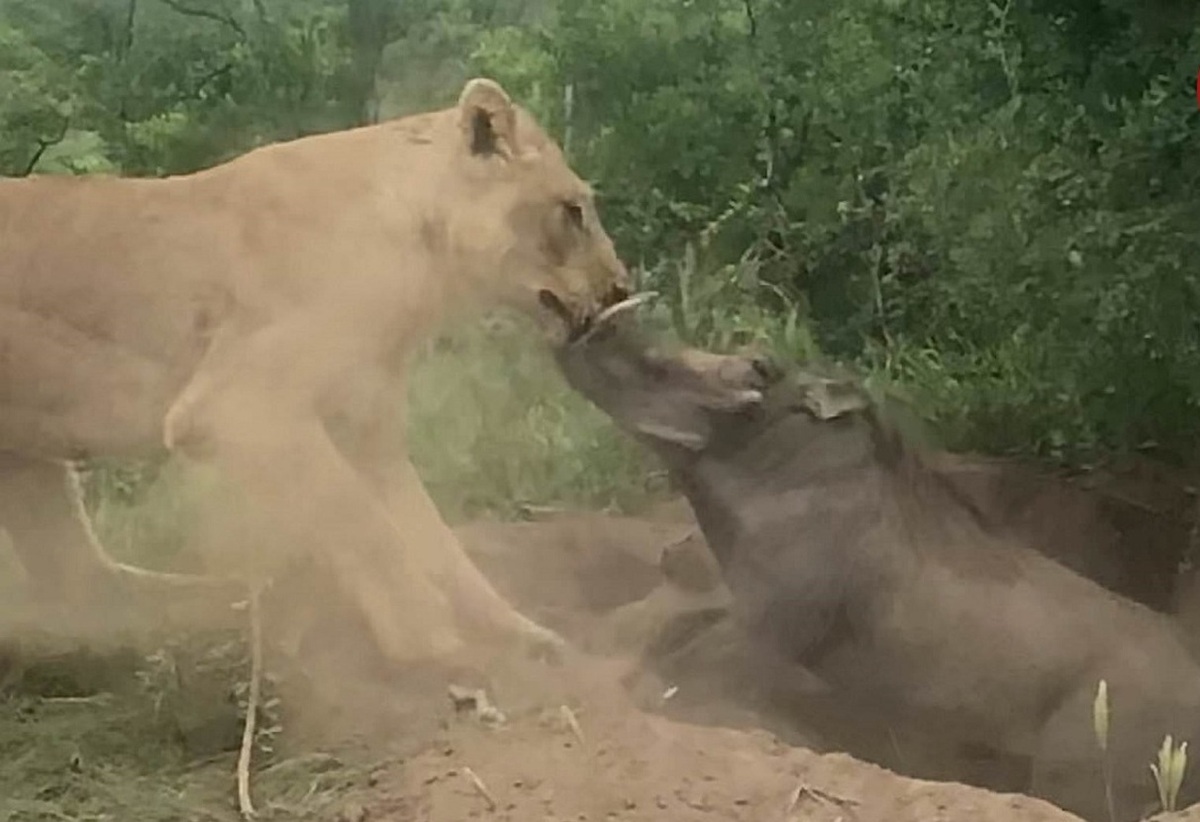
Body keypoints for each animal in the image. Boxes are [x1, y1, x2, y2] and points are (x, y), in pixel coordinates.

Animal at [0, 76, 633, 667]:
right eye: (573, 211)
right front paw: (430, 639)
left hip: (30, 459)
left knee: (82, 580)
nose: (621, 289)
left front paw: (526, 638)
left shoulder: (367, 428)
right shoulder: (236, 405)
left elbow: (434, 541)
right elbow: (362, 523)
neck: (423, 264)